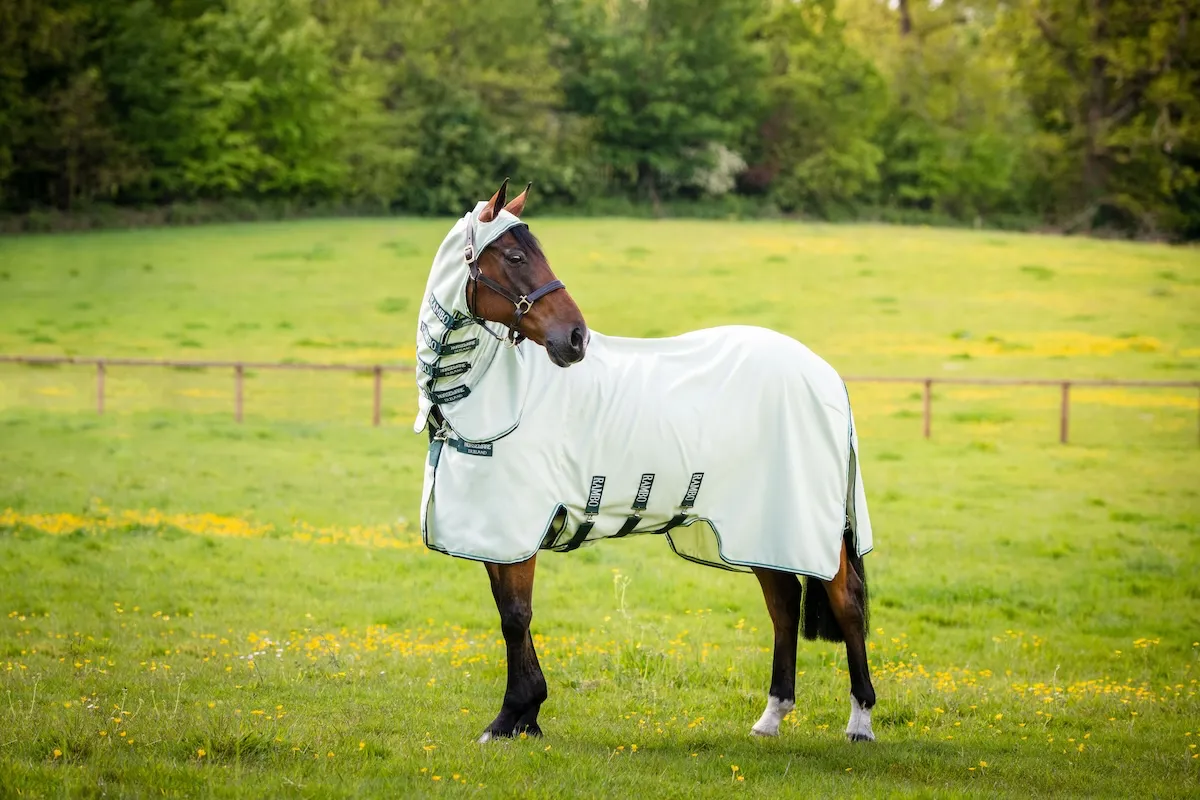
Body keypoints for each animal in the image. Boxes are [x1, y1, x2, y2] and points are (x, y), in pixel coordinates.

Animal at [413, 180, 876, 744]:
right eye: (517, 256)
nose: (576, 338)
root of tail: (826, 374)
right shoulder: (495, 536)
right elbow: (511, 614)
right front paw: (526, 717)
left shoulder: (512, 529)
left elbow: (515, 617)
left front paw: (511, 716)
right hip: (760, 527)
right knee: (784, 604)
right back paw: (771, 716)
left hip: (810, 528)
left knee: (846, 603)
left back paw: (860, 721)